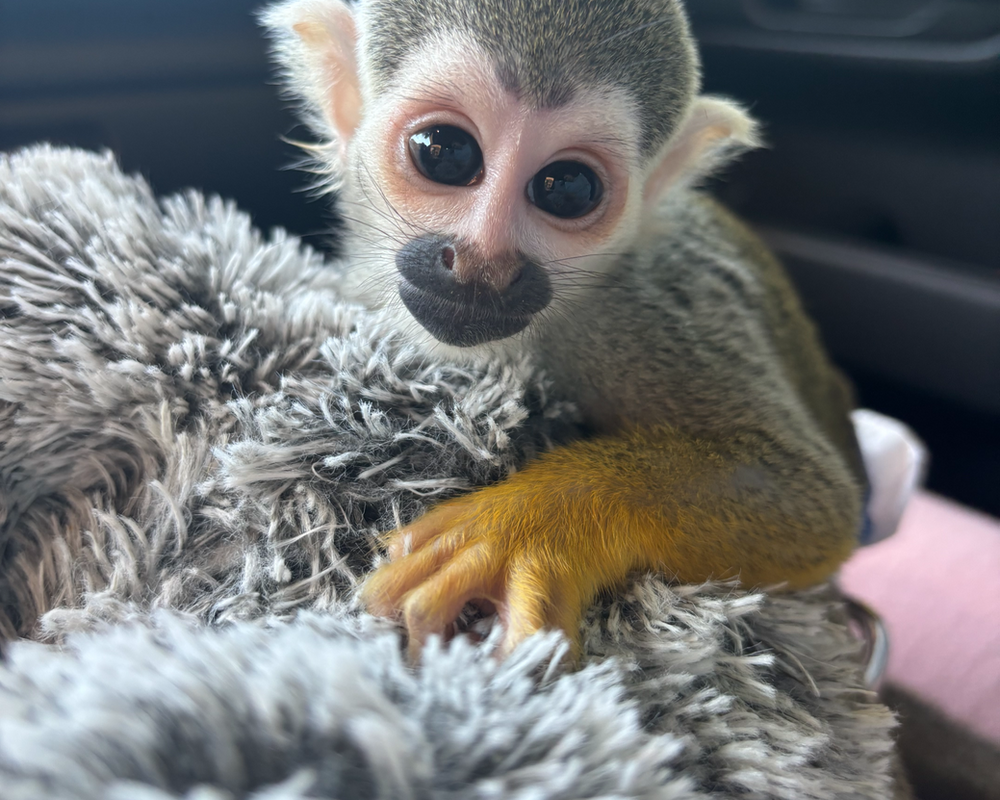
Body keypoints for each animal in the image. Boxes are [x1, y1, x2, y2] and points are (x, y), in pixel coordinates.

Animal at [262, 0, 867, 661]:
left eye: (567, 187)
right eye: (445, 151)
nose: (484, 263)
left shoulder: (643, 315)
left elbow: (815, 499)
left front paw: (535, 523)